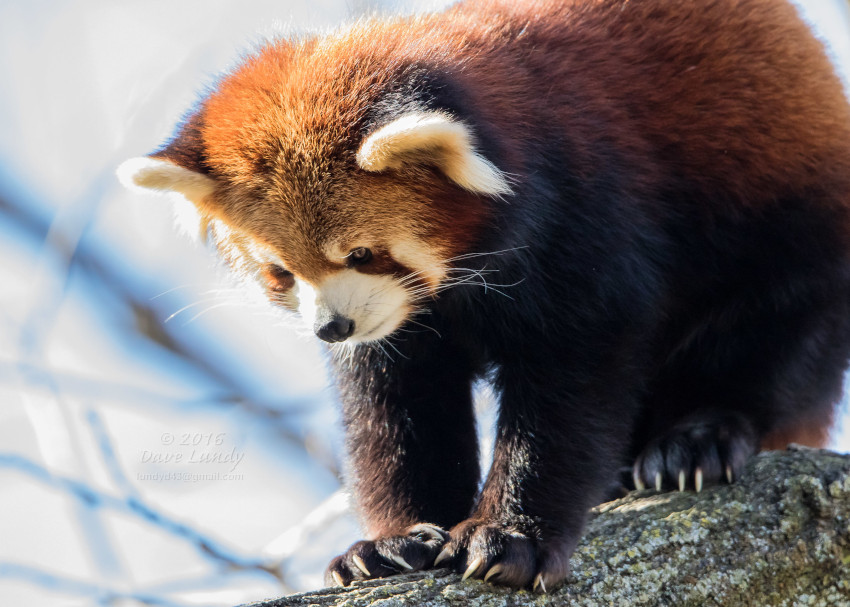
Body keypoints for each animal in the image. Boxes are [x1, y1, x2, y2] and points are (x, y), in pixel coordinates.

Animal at [116, 0, 848, 592]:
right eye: (279, 273)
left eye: (361, 254)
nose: (332, 327)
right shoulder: (398, 326)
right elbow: (399, 412)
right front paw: (390, 541)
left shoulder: (589, 218)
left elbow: (573, 390)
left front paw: (511, 537)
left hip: (792, 223)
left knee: (776, 336)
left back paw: (696, 438)